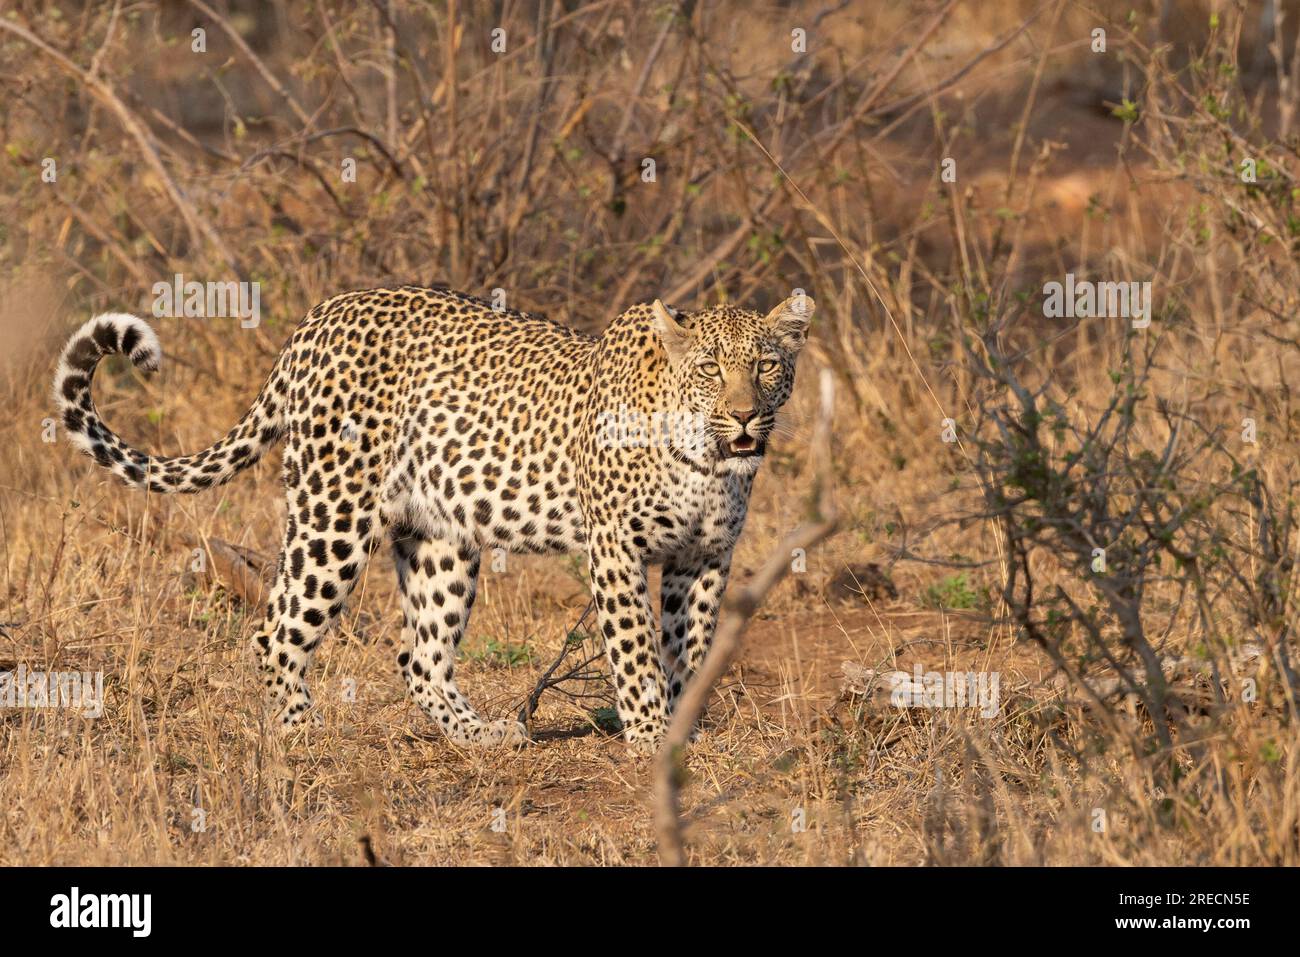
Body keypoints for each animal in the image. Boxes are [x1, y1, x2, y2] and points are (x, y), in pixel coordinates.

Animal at [55, 287, 816, 748]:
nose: (745, 415)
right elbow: (634, 651)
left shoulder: (704, 558)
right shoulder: (616, 549)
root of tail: (316, 320)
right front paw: (653, 737)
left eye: (766, 365)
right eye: (711, 369)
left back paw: (481, 735)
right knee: (275, 629)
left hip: (440, 538)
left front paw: (682, 728)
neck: (707, 460)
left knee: (418, 653)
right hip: (333, 512)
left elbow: (690, 647)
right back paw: (302, 729)